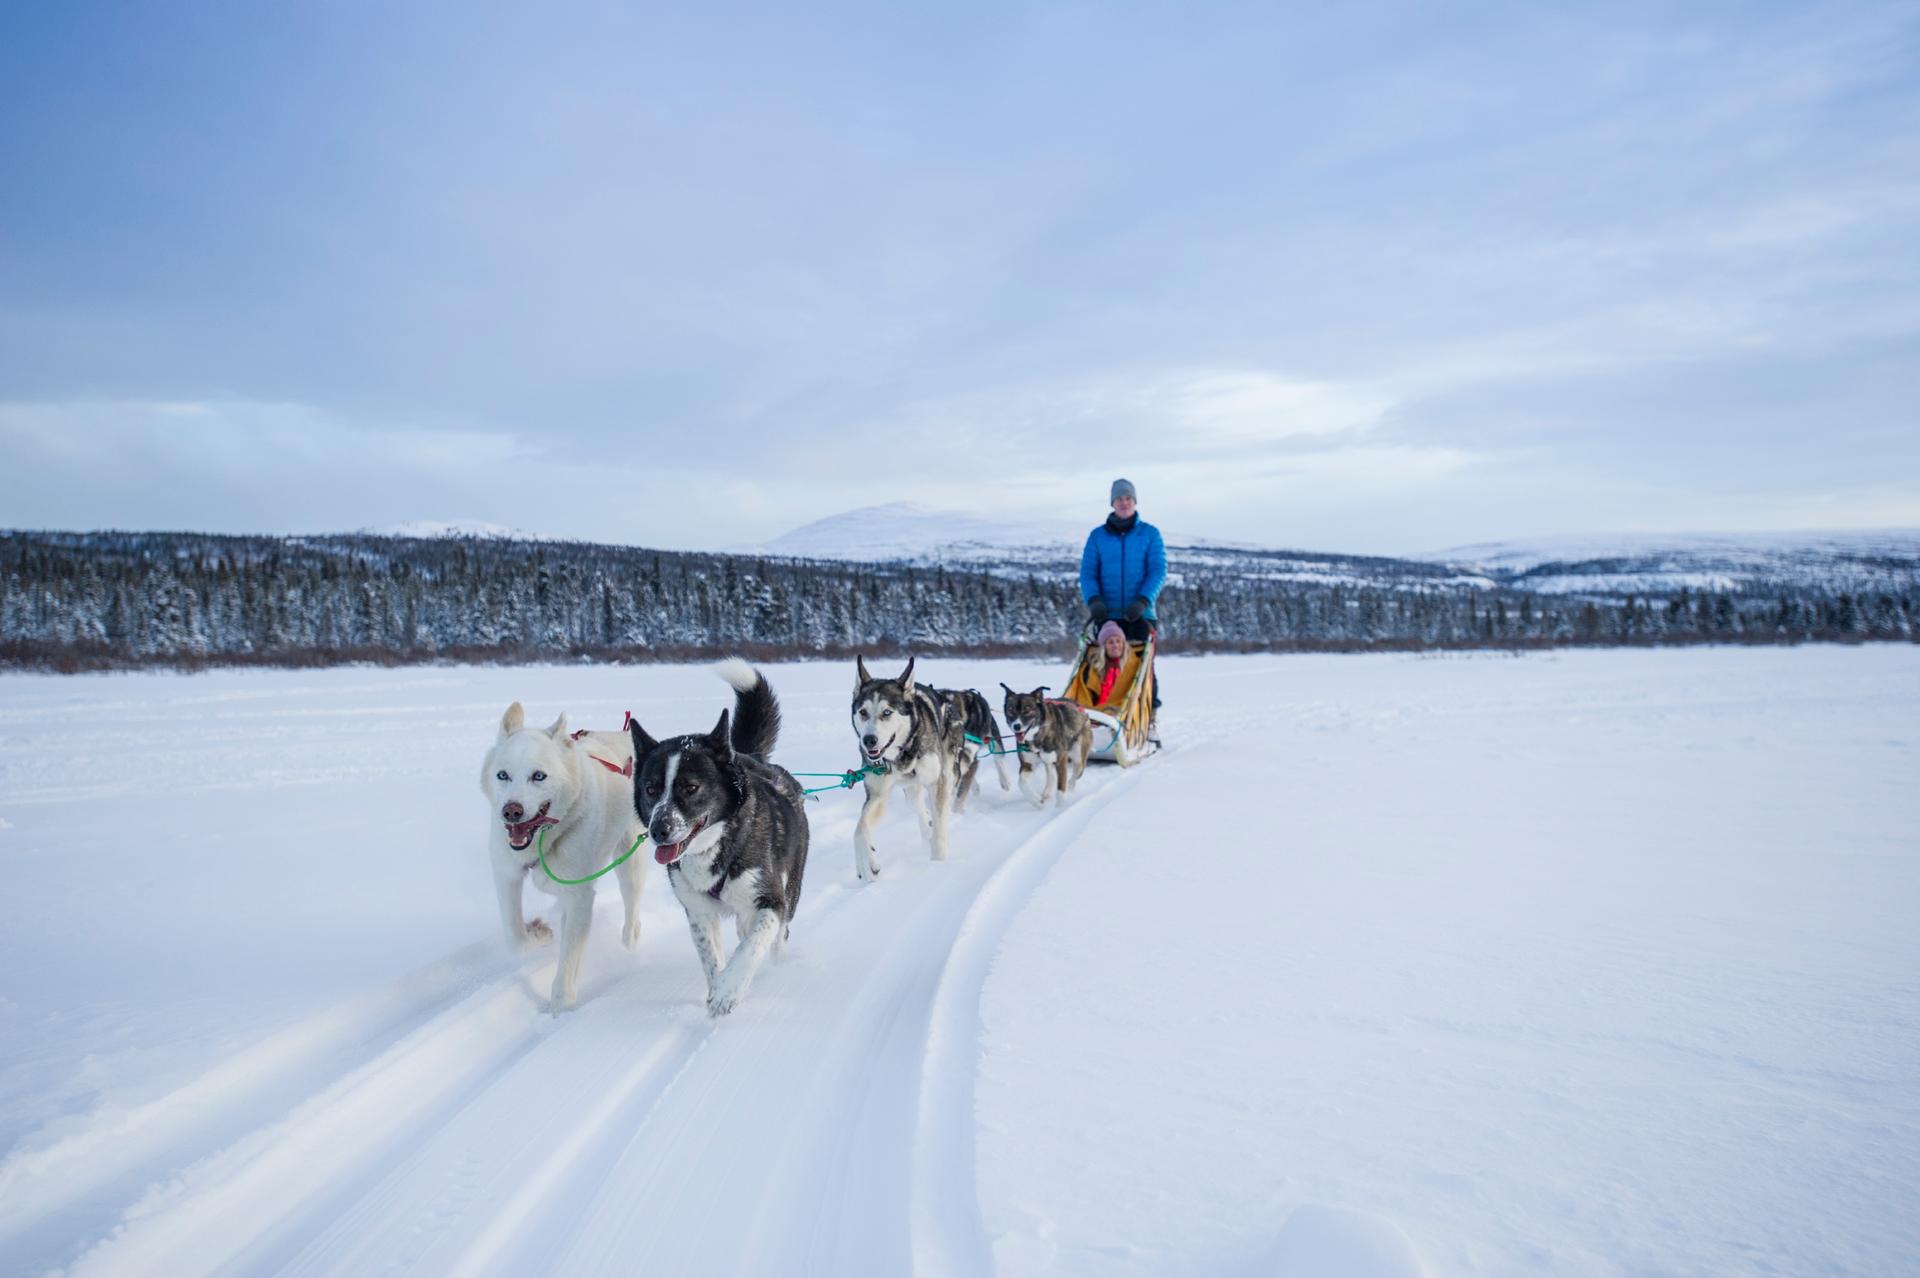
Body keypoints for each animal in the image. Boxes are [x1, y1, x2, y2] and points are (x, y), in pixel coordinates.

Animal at [478, 702, 645, 1013]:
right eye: (503, 775)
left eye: (538, 776)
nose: (511, 811)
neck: (544, 839)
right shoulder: (506, 875)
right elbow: (515, 937)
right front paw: (538, 932)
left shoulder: (580, 896)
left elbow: (568, 960)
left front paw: (560, 1007)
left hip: (630, 861)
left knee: (632, 908)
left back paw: (630, 941)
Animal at [629, 656, 810, 1013]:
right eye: (651, 789)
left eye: (690, 787)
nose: (659, 830)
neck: (718, 845)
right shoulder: (698, 912)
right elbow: (711, 958)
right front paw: (717, 989)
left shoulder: (770, 901)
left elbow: (752, 946)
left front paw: (729, 990)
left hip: (791, 889)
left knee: (776, 938)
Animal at [852, 652, 967, 882]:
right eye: (863, 712)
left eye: (887, 712)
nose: (869, 740)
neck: (903, 754)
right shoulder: (878, 793)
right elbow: (860, 828)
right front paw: (866, 863)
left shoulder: (938, 782)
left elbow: (940, 826)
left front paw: (938, 865)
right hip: (911, 793)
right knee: (921, 811)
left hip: (948, 772)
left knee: (942, 808)